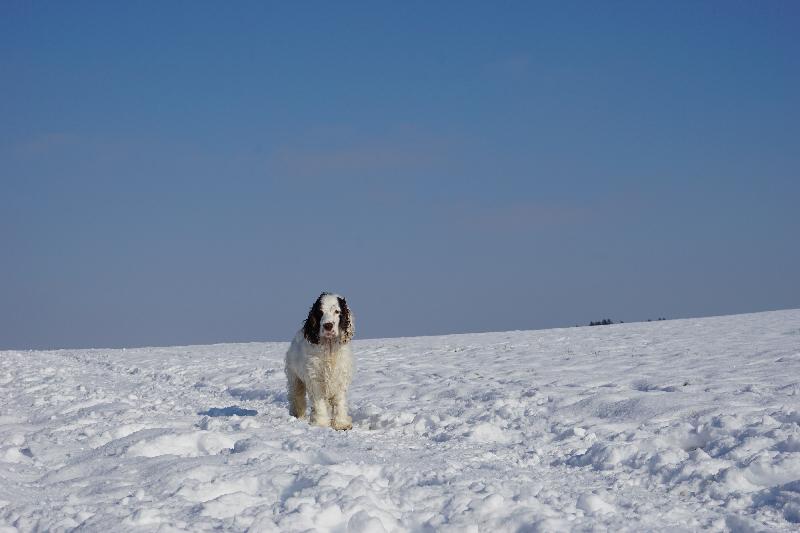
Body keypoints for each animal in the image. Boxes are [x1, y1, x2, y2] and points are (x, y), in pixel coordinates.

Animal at [285, 292, 354, 430]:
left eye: (337, 311)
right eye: (320, 312)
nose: (328, 326)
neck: (329, 348)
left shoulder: (340, 377)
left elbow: (340, 401)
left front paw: (341, 423)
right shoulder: (315, 378)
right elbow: (319, 402)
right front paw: (320, 423)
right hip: (295, 378)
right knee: (297, 397)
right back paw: (298, 416)